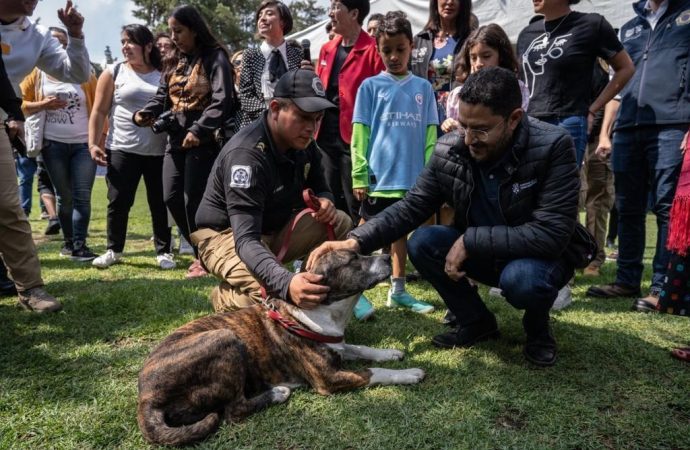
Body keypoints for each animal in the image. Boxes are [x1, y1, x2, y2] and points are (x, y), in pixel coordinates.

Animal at [136, 250, 424, 446]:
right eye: (353, 259)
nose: (387, 255)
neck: (320, 311)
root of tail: (146, 398)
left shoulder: (339, 346)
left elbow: (363, 348)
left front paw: (391, 353)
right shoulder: (328, 378)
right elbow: (374, 372)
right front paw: (409, 373)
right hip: (224, 338)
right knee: (234, 410)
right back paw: (278, 393)